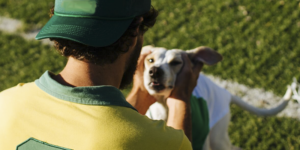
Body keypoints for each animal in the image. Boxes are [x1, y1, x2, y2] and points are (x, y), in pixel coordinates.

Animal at [143, 45, 292, 150]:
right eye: (150, 60)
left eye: (175, 62)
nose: (154, 71)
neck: (166, 108)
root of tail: (226, 94)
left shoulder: (199, 139)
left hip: (217, 136)